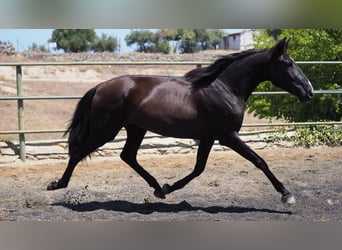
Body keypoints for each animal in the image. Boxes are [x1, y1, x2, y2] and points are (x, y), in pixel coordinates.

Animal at [47, 38, 312, 204]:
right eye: (287, 63)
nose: (309, 91)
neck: (224, 88)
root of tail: (100, 86)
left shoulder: (208, 137)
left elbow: (198, 169)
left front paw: (167, 188)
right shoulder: (228, 136)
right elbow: (259, 161)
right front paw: (287, 195)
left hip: (136, 128)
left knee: (128, 156)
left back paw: (157, 188)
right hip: (106, 130)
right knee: (79, 152)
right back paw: (57, 185)